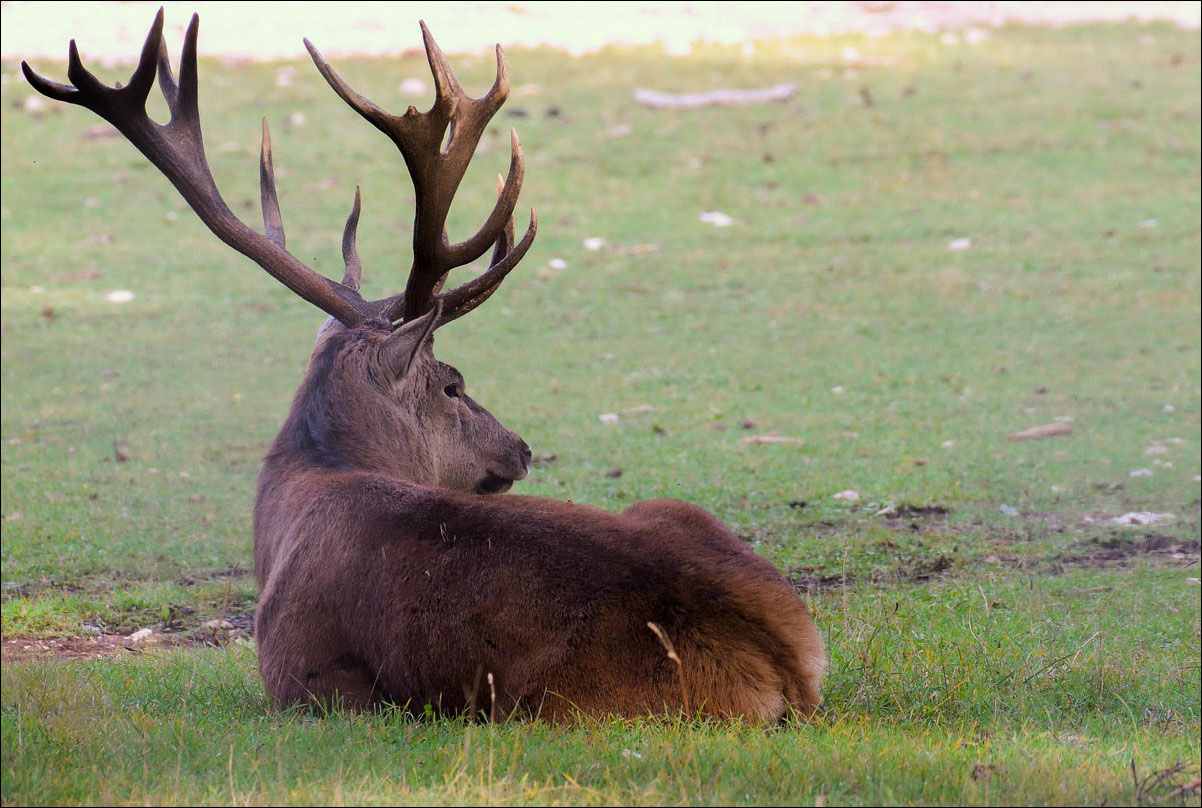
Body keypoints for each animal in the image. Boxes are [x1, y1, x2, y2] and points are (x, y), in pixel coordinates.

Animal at [23, 11, 826, 721]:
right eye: (454, 384)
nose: (522, 447)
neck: (302, 494)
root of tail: (784, 660)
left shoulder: (306, 682)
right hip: (680, 514)